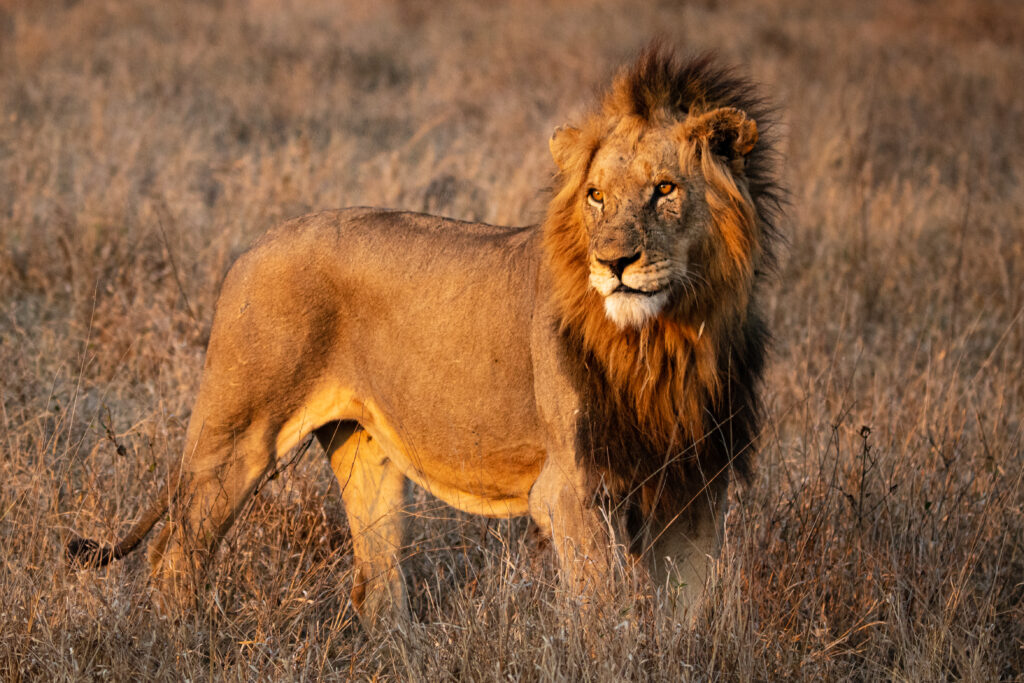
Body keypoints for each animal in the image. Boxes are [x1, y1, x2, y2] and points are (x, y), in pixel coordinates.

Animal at [68, 47, 780, 628]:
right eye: (596, 197)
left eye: (665, 189)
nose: (614, 262)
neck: (668, 338)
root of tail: (252, 246)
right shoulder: (573, 488)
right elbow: (608, 616)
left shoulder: (696, 490)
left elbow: (684, 620)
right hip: (238, 433)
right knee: (176, 553)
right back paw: (178, 643)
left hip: (365, 451)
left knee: (377, 589)